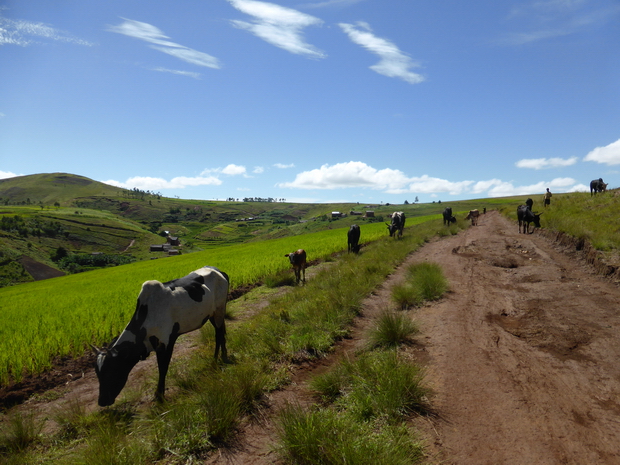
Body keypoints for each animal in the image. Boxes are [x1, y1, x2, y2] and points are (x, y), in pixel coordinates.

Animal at [91, 264, 229, 406]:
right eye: (97, 372)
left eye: (111, 370)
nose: (102, 401)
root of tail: (217, 270)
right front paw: (159, 394)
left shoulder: (166, 343)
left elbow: (163, 368)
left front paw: (159, 395)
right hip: (213, 314)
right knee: (221, 331)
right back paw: (221, 354)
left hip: (219, 310)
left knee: (218, 334)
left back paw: (217, 358)